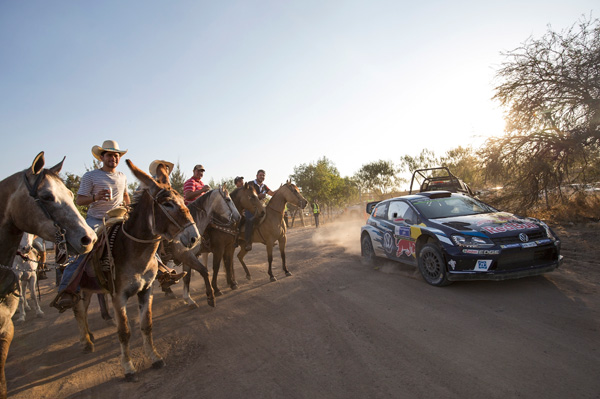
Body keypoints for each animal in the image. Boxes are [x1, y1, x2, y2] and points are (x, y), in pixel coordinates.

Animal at [70, 161, 197, 382]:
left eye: (183, 199)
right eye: (167, 203)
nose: (194, 237)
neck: (134, 252)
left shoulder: (146, 290)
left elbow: (147, 325)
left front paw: (154, 357)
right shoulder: (118, 296)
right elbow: (124, 332)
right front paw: (128, 367)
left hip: (87, 288)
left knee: (83, 310)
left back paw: (88, 336)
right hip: (78, 286)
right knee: (78, 310)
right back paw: (85, 342)